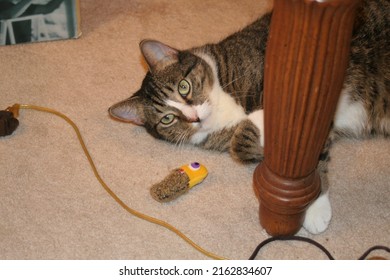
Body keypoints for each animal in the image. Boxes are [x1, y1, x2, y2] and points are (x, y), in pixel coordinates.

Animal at [109, 0, 390, 234]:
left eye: (184, 87)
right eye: (167, 119)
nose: (194, 117)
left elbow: (311, 152)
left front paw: (315, 209)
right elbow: (242, 148)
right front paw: (256, 122)